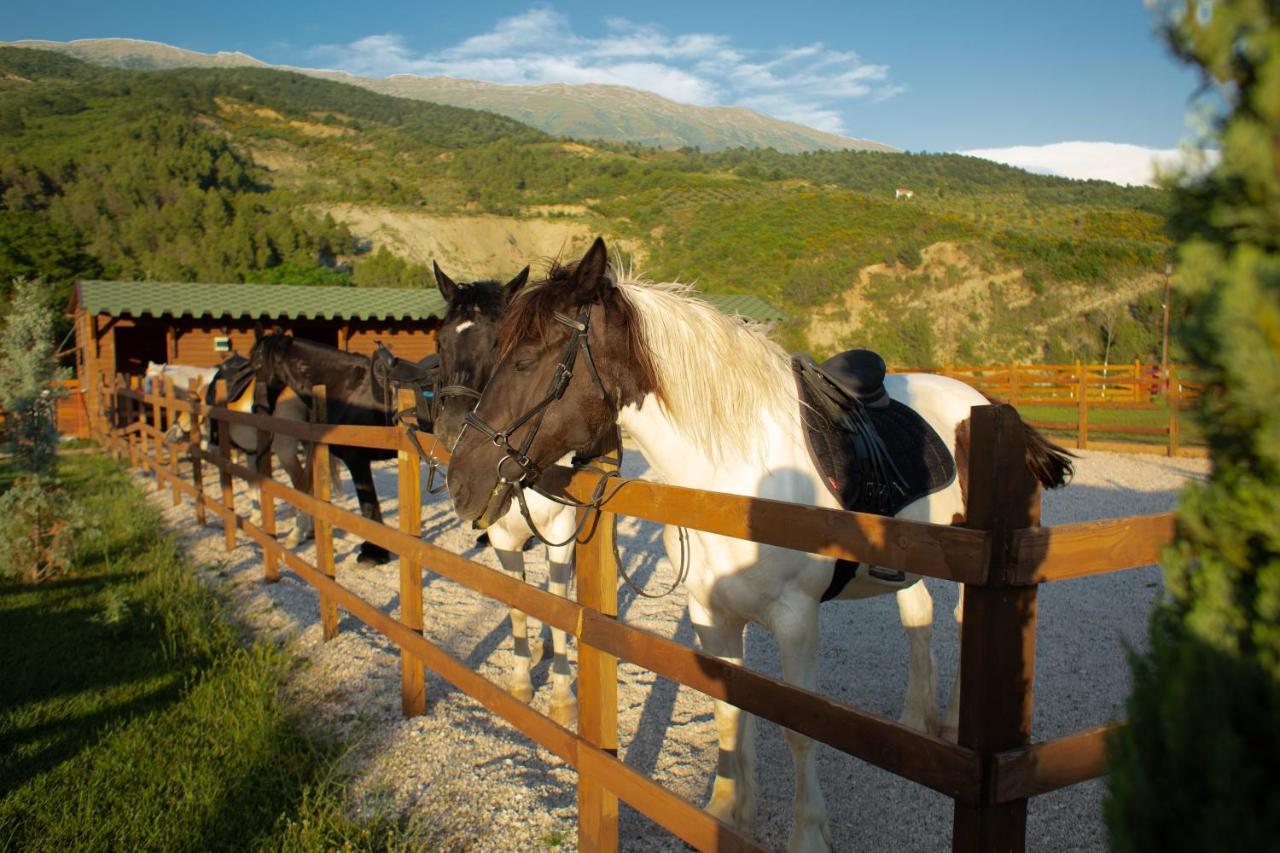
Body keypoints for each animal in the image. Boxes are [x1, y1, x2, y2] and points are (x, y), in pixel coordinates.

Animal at [249, 333, 440, 563]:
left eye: (256, 365)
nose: (256, 408)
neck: (344, 387)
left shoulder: (356, 459)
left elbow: (368, 505)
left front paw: (373, 553)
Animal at [442, 236, 1070, 850]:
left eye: (527, 359)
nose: (459, 480)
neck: (733, 475)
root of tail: (990, 403)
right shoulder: (710, 614)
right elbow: (728, 711)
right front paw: (727, 811)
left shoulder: (796, 621)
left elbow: (797, 731)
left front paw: (807, 834)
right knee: (918, 615)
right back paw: (917, 722)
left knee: (961, 621)